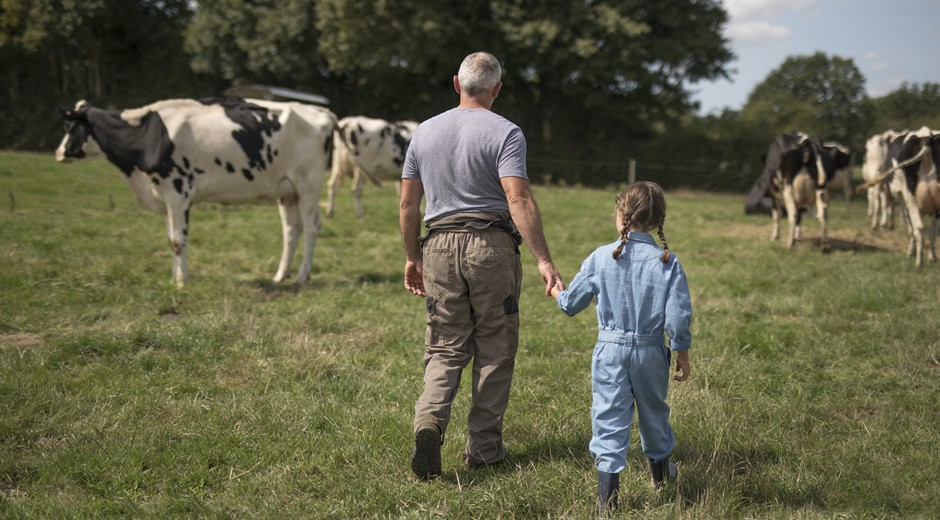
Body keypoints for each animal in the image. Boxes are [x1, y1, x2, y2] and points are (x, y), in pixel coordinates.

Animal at [56, 95, 338, 286]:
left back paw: (302, 276)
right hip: (286, 189)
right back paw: (281, 275)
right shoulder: (166, 197)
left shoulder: (177, 192)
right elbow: (171, 238)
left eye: (69, 127)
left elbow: (177, 240)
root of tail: (320, 110)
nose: (58, 152)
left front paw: (182, 281)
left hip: (308, 184)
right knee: (291, 229)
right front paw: (175, 276)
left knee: (312, 226)